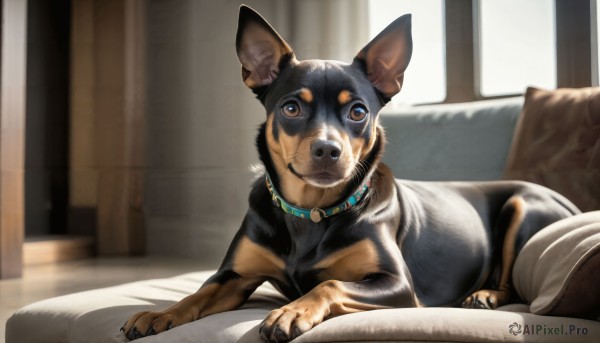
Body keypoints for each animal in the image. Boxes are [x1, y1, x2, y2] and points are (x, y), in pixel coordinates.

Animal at [120, 6, 576, 343]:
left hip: (523, 206)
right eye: (291, 108)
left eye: (358, 112)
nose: (327, 149)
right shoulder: (234, 277)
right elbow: (199, 292)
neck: (311, 212)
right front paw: (160, 312)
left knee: (513, 283)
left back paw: (484, 294)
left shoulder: (396, 285)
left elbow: (329, 285)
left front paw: (291, 312)